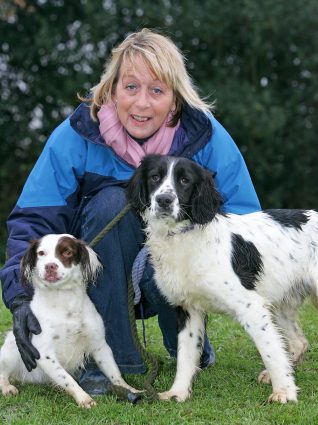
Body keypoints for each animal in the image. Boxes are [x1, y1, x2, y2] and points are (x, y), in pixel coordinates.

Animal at [0, 235, 139, 408]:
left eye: (67, 252)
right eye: (41, 253)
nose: (50, 266)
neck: (64, 302)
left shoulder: (100, 345)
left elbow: (115, 373)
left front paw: (131, 390)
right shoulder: (44, 353)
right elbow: (68, 380)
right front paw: (84, 399)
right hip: (11, 351)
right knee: (2, 374)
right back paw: (7, 387)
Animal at [126, 155, 318, 404]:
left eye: (185, 180)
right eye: (155, 177)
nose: (164, 200)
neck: (181, 237)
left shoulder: (251, 306)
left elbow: (269, 350)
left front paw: (284, 392)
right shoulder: (188, 309)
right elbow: (186, 355)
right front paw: (178, 392)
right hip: (280, 301)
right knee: (299, 342)